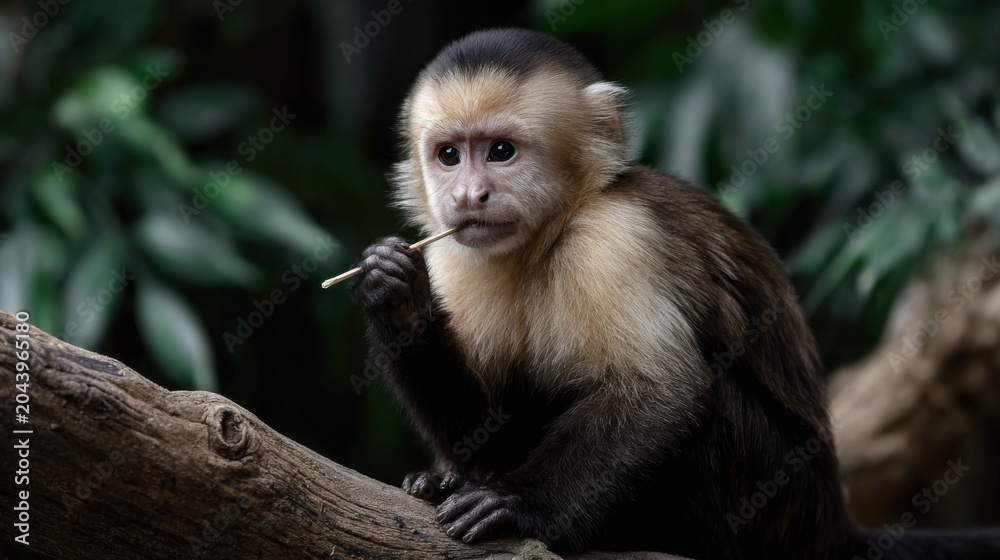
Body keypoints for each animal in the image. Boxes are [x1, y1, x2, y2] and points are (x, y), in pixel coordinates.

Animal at [349, 28, 1000, 559]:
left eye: (501, 152)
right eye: (449, 155)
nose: (468, 197)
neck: (553, 232)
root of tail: (834, 529)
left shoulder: (616, 236)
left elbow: (661, 393)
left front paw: (521, 505)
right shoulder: (454, 257)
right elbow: (486, 423)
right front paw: (396, 298)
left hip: (782, 509)